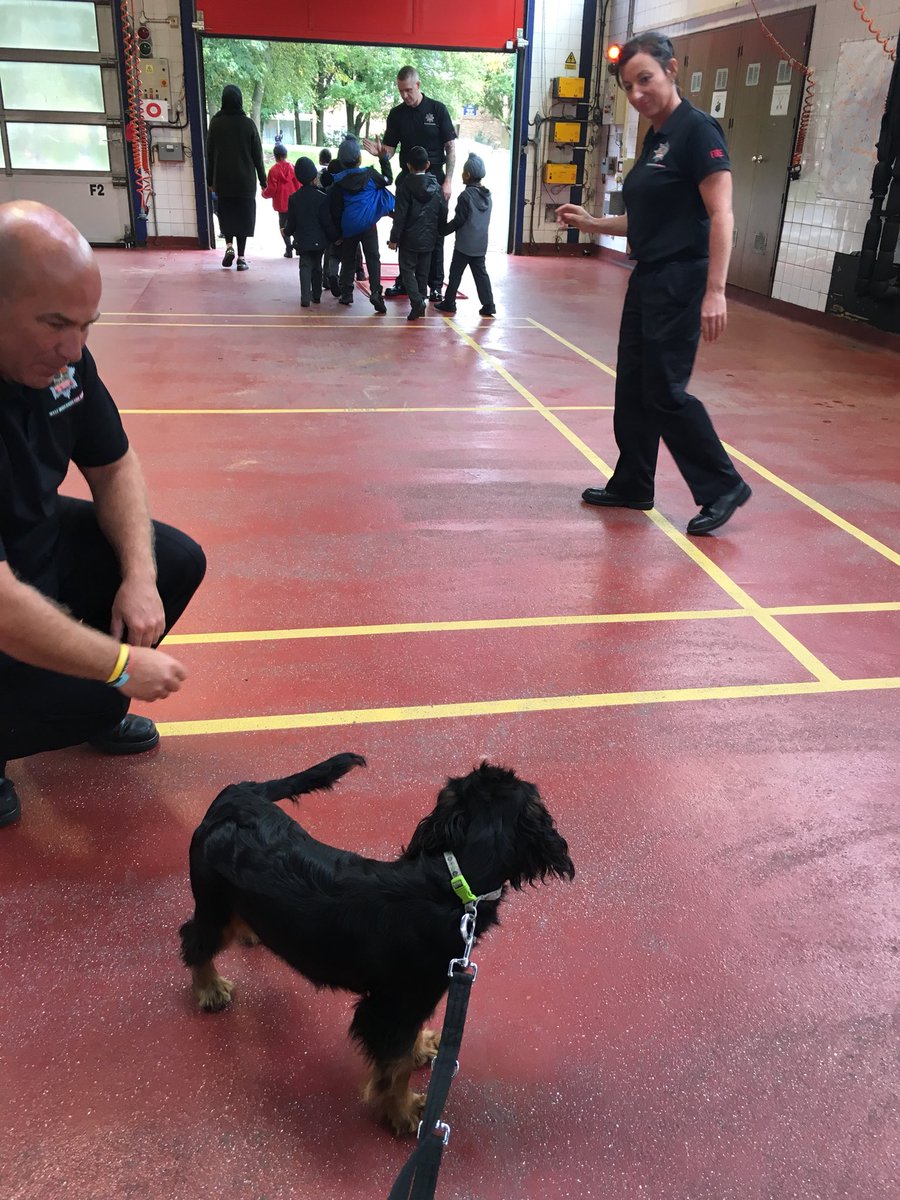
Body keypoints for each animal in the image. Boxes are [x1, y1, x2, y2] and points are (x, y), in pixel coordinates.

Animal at [180, 753, 573, 1128]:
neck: (454, 884)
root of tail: (236, 793)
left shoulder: (408, 1001)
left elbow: (405, 1047)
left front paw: (420, 1049)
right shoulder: (390, 1008)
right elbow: (394, 1067)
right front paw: (404, 1112)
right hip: (213, 902)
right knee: (194, 940)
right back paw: (211, 989)